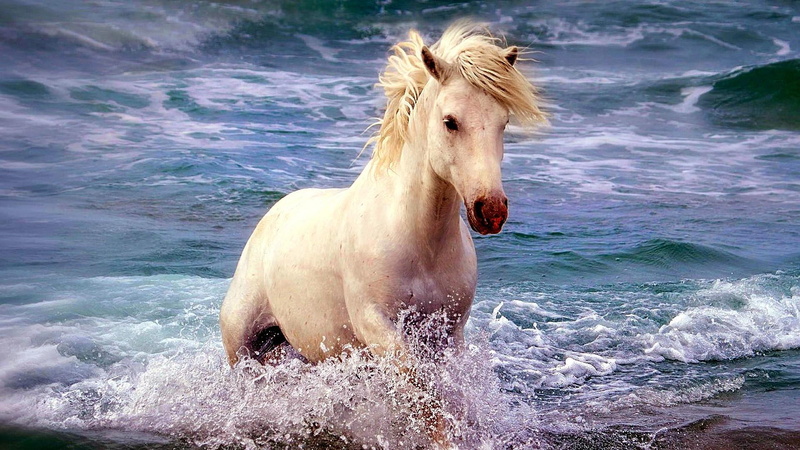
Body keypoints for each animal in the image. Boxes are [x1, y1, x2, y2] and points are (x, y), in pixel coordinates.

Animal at [219, 21, 545, 446]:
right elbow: (419, 386)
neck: (420, 242)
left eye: (504, 122)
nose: (490, 210)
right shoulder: (375, 323)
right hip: (240, 343)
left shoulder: (449, 332)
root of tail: (272, 215)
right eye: (450, 121)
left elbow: (450, 391)